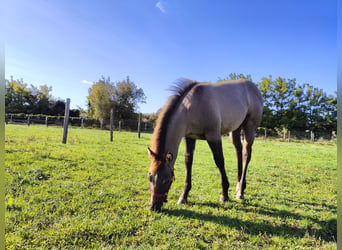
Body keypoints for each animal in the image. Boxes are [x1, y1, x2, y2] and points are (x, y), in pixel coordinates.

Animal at [148, 78, 264, 211]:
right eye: (149, 177)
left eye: (166, 180)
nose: (153, 207)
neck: (193, 105)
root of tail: (253, 87)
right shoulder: (189, 137)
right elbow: (188, 162)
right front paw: (183, 196)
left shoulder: (213, 136)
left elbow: (219, 161)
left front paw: (224, 194)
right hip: (235, 129)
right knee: (238, 152)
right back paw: (239, 185)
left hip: (250, 127)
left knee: (246, 154)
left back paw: (240, 192)